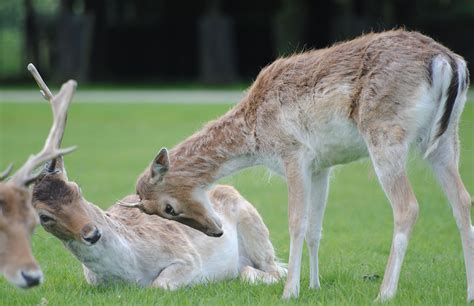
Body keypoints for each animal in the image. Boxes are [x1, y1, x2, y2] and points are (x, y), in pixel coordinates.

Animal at [32, 155, 286, 290]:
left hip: (257, 233)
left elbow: (158, 286)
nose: (91, 233)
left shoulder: (187, 257)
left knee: (274, 269)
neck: (132, 271)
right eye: (44, 217)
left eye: (77, 189)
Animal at [128, 30, 472, 302]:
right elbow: (316, 228)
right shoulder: (322, 166)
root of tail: (449, 63)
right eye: (160, 212)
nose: (216, 231)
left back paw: (385, 293)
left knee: (408, 207)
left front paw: (290, 291)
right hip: (445, 140)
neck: (255, 136)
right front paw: (314, 286)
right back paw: (468, 292)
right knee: (462, 202)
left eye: (169, 208)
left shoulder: (293, 154)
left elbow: (296, 222)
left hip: (386, 136)